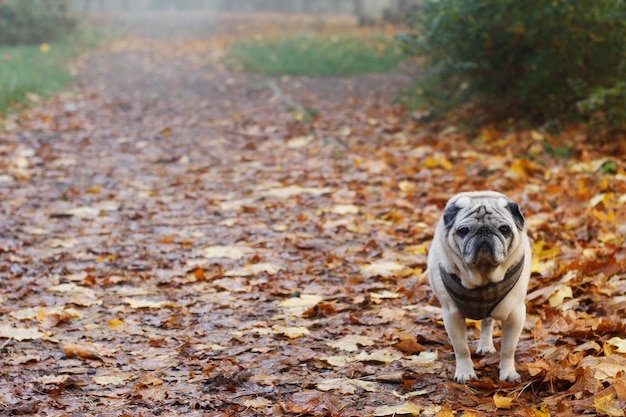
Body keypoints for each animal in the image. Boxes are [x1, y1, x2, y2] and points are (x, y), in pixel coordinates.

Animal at [426, 190, 528, 382]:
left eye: (504, 229)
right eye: (463, 230)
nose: (484, 231)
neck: (482, 274)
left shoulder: (515, 315)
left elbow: (508, 349)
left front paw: (508, 372)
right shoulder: (452, 315)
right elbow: (461, 348)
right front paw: (465, 372)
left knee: (487, 322)